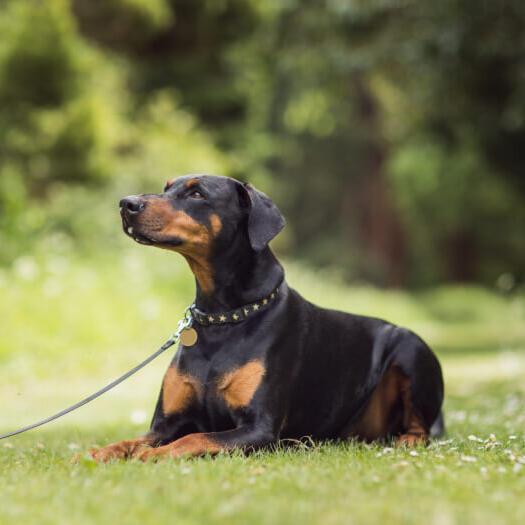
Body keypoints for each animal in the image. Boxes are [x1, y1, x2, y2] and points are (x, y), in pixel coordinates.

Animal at [89, 174, 442, 460]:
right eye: (166, 187)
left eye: (196, 193)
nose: (126, 203)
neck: (223, 317)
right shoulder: (165, 424)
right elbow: (129, 441)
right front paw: (94, 453)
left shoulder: (259, 428)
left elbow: (195, 438)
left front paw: (154, 455)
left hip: (411, 348)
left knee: (422, 428)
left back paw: (408, 440)